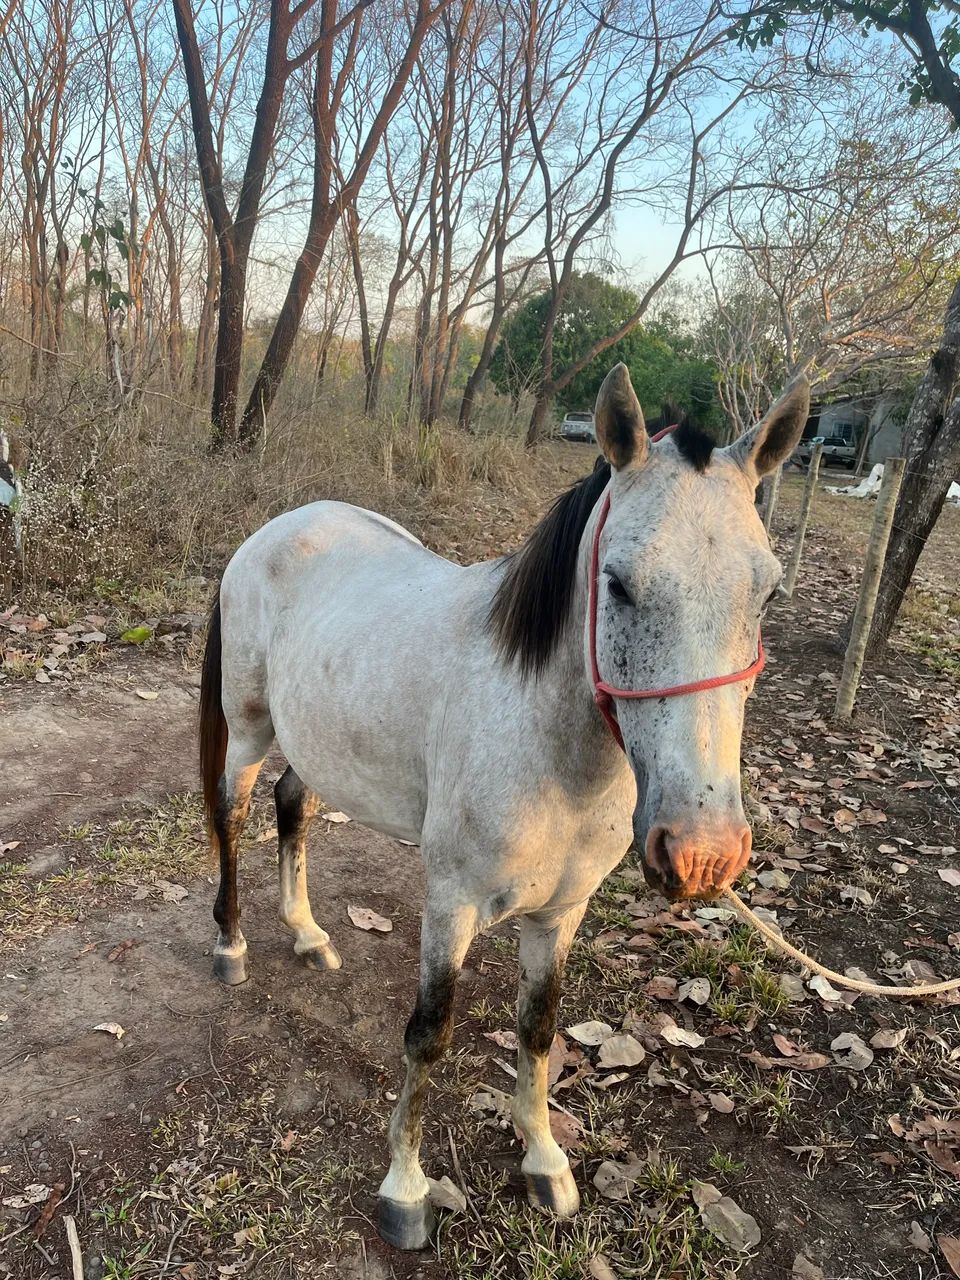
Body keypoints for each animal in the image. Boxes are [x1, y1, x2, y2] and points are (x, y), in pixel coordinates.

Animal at [197, 363, 810, 1249]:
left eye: (767, 595)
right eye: (618, 583)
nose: (703, 855)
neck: (549, 745)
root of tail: (279, 527)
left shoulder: (561, 913)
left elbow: (538, 1029)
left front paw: (544, 1161)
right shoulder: (449, 903)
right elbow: (429, 1035)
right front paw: (406, 1190)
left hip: (319, 744)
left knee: (293, 807)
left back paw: (309, 935)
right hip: (248, 730)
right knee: (232, 815)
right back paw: (233, 944)